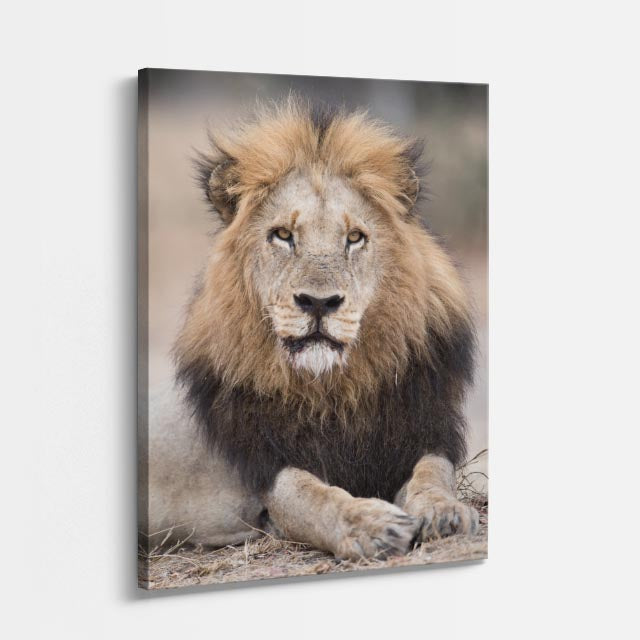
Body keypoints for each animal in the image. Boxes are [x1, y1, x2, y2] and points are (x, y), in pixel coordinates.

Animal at [140, 98, 479, 561]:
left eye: (354, 237)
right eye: (283, 235)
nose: (318, 303)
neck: (335, 390)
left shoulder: (425, 432)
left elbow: (432, 475)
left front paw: (445, 513)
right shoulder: (267, 472)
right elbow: (314, 497)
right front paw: (371, 525)